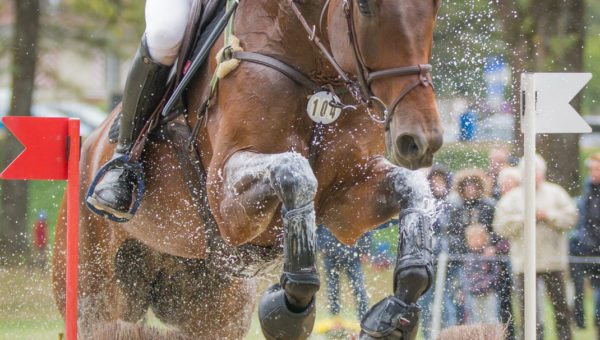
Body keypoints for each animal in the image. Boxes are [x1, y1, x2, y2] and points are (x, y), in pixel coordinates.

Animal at [54, 0, 442, 338]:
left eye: (435, 6)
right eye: (364, 7)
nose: (420, 140)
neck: (314, 70)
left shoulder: (346, 199)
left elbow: (413, 187)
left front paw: (395, 311)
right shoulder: (226, 198)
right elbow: (295, 173)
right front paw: (291, 306)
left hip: (215, 308)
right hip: (95, 293)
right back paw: (115, 185)